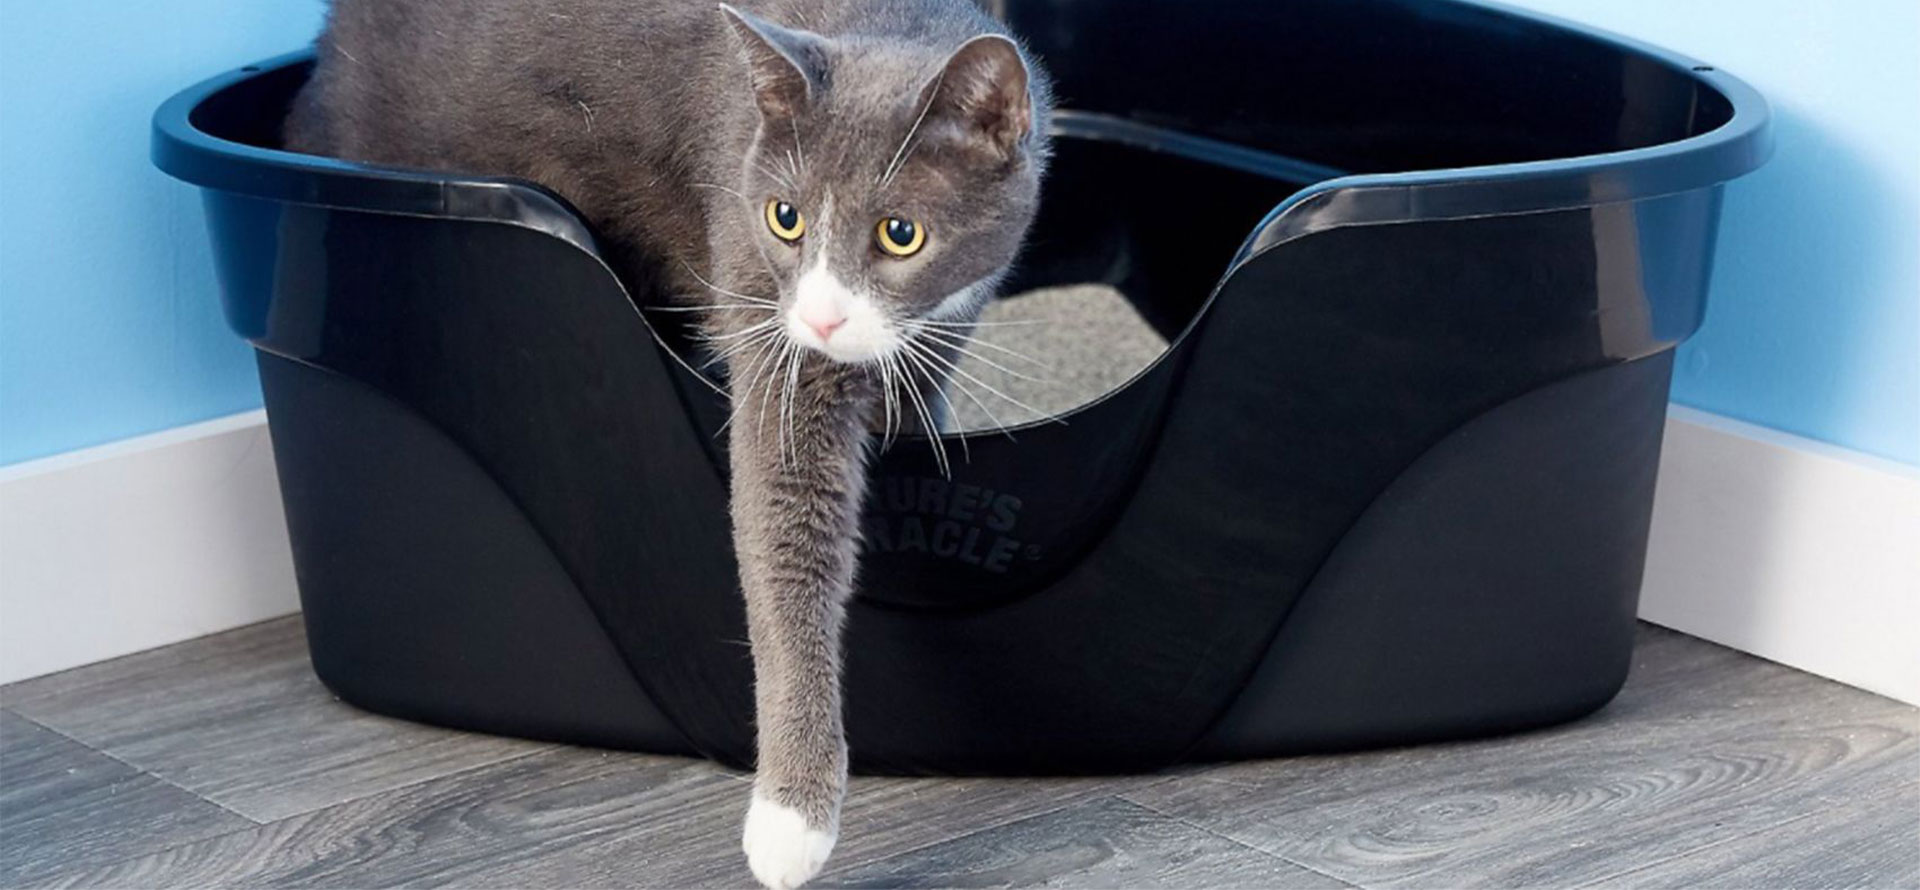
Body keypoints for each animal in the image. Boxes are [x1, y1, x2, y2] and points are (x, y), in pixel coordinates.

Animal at [282, 3, 1052, 886]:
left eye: (901, 235)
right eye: (784, 217)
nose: (822, 319)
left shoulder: (937, 335)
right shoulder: (762, 300)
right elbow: (785, 540)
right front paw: (789, 824)